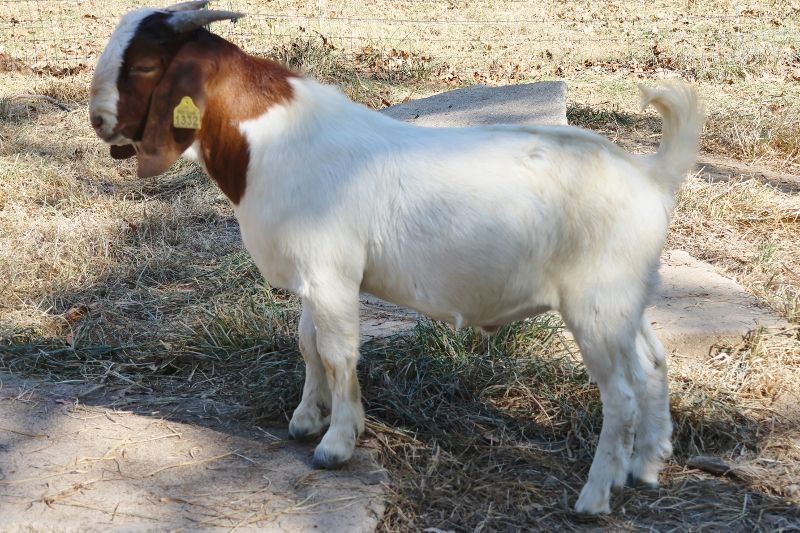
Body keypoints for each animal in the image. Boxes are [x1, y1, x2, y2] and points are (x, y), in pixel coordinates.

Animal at [87, 2, 700, 512]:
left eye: (146, 65)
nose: (97, 121)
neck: (274, 139)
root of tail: (653, 174)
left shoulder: (331, 273)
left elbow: (338, 354)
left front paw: (337, 444)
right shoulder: (314, 276)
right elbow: (307, 345)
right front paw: (306, 419)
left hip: (595, 303)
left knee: (621, 395)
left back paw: (595, 496)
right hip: (626, 296)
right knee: (653, 363)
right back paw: (645, 467)